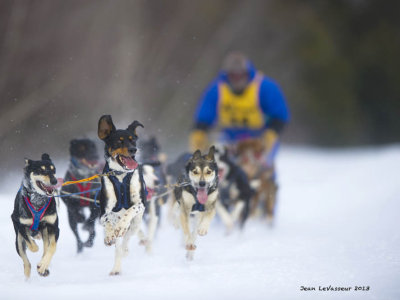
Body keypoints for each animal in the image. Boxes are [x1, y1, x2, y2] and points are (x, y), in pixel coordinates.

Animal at [97, 116, 156, 276]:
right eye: (119, 141)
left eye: (133, 140)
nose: (133, 149)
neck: (121, 175)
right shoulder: (104, 211)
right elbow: (106, 219)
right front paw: (109, 235)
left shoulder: (141, 204)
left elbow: (131, 209)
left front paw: (121, 225)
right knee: (117, 246)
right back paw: (116, 267)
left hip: (136, 224)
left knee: (127, 238)